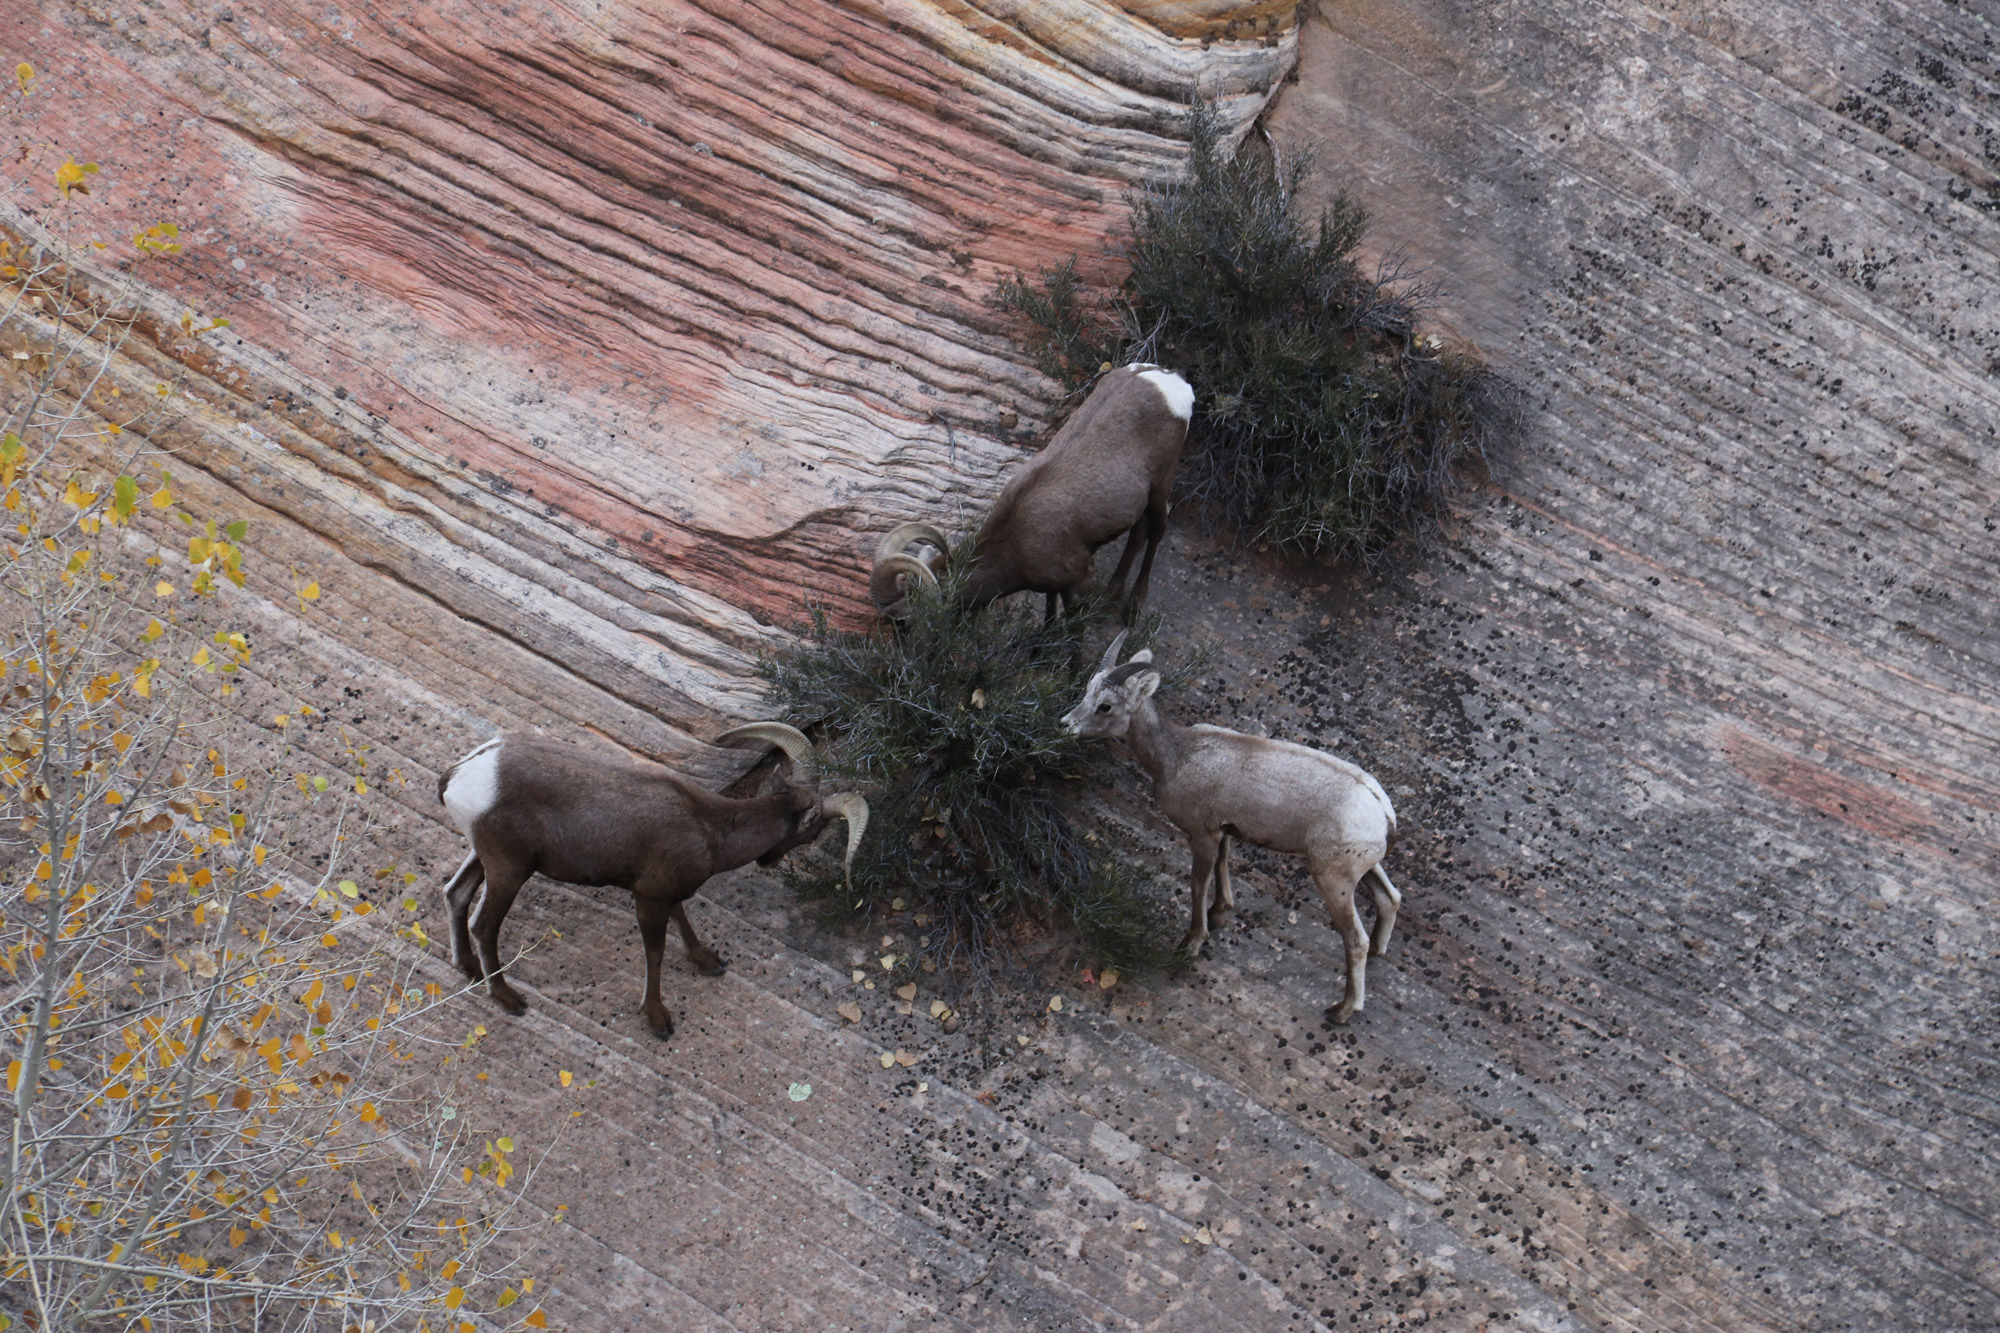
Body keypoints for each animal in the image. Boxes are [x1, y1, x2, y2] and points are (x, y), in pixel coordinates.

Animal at [438, 720, 860, 1032]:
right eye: (815, 832)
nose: (768, 862)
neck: (708, 828)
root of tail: (461, 774)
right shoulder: (649, 901)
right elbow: (654, 955)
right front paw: (658, 1020)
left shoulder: (664, 894)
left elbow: (682, 919)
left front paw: (709, 963)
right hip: (508, 871)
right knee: (483, 925)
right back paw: (507, 998)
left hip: (487, 859)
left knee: (455, 894)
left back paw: (468, 969)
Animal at [872, 360, 1184, 624]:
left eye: (905, 623)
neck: (1014, 541)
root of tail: (1163, 379)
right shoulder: (1054, 586)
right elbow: (1049, 613)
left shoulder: (1079, 580)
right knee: (1139, 533)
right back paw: (1112, 595)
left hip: (1161, 485)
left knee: (1157, 530)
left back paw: (1133, 608)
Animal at [1064, 632, 1408, 1016]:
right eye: (1087, 691)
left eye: (1105, 706)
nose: (1065, 725)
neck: (1177, 758)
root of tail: (1381, 810)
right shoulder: (1225, 831)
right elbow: (1223, 867)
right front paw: (1220, 913)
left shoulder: (1202, 835)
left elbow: (1198, 883)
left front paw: (1192, 942)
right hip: (1362, 869)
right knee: (1389, 898)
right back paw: (1377, 953)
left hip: (1334, 880)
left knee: (1354, 938)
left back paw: (1342, 1010)